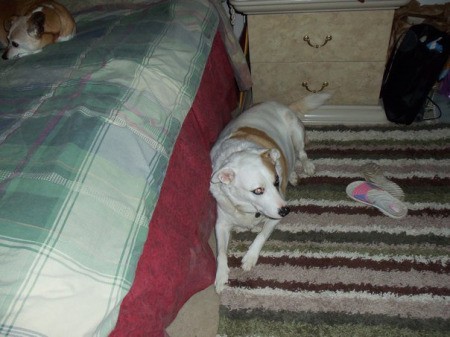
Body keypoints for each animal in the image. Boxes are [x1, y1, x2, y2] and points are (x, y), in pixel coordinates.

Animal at [209, 93, 328, 292]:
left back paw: (306, 166)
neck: (249, 210)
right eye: (258, 190)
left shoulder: (274, 217)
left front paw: (250, 257)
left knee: (301, 152)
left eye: (276, 181)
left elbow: (261, 235)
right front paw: (220, 276)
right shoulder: (221, 224)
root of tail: (280, 104)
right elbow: (221, 252)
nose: (286, 211)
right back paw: (293, 175)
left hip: (296, 132)